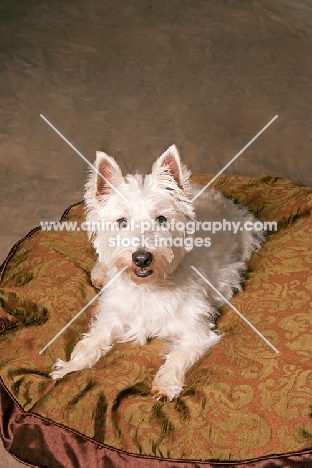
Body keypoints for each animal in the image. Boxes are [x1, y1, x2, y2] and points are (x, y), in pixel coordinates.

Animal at [51, 145, 264, 398]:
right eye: (122, 221)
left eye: (161, 219)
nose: (142, 258)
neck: (147, 289)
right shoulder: (112, 317)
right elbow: (91, 341)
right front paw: (69, 368)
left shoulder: (196, 330)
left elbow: (179, 355)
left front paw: (165, 384)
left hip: (248, 236)